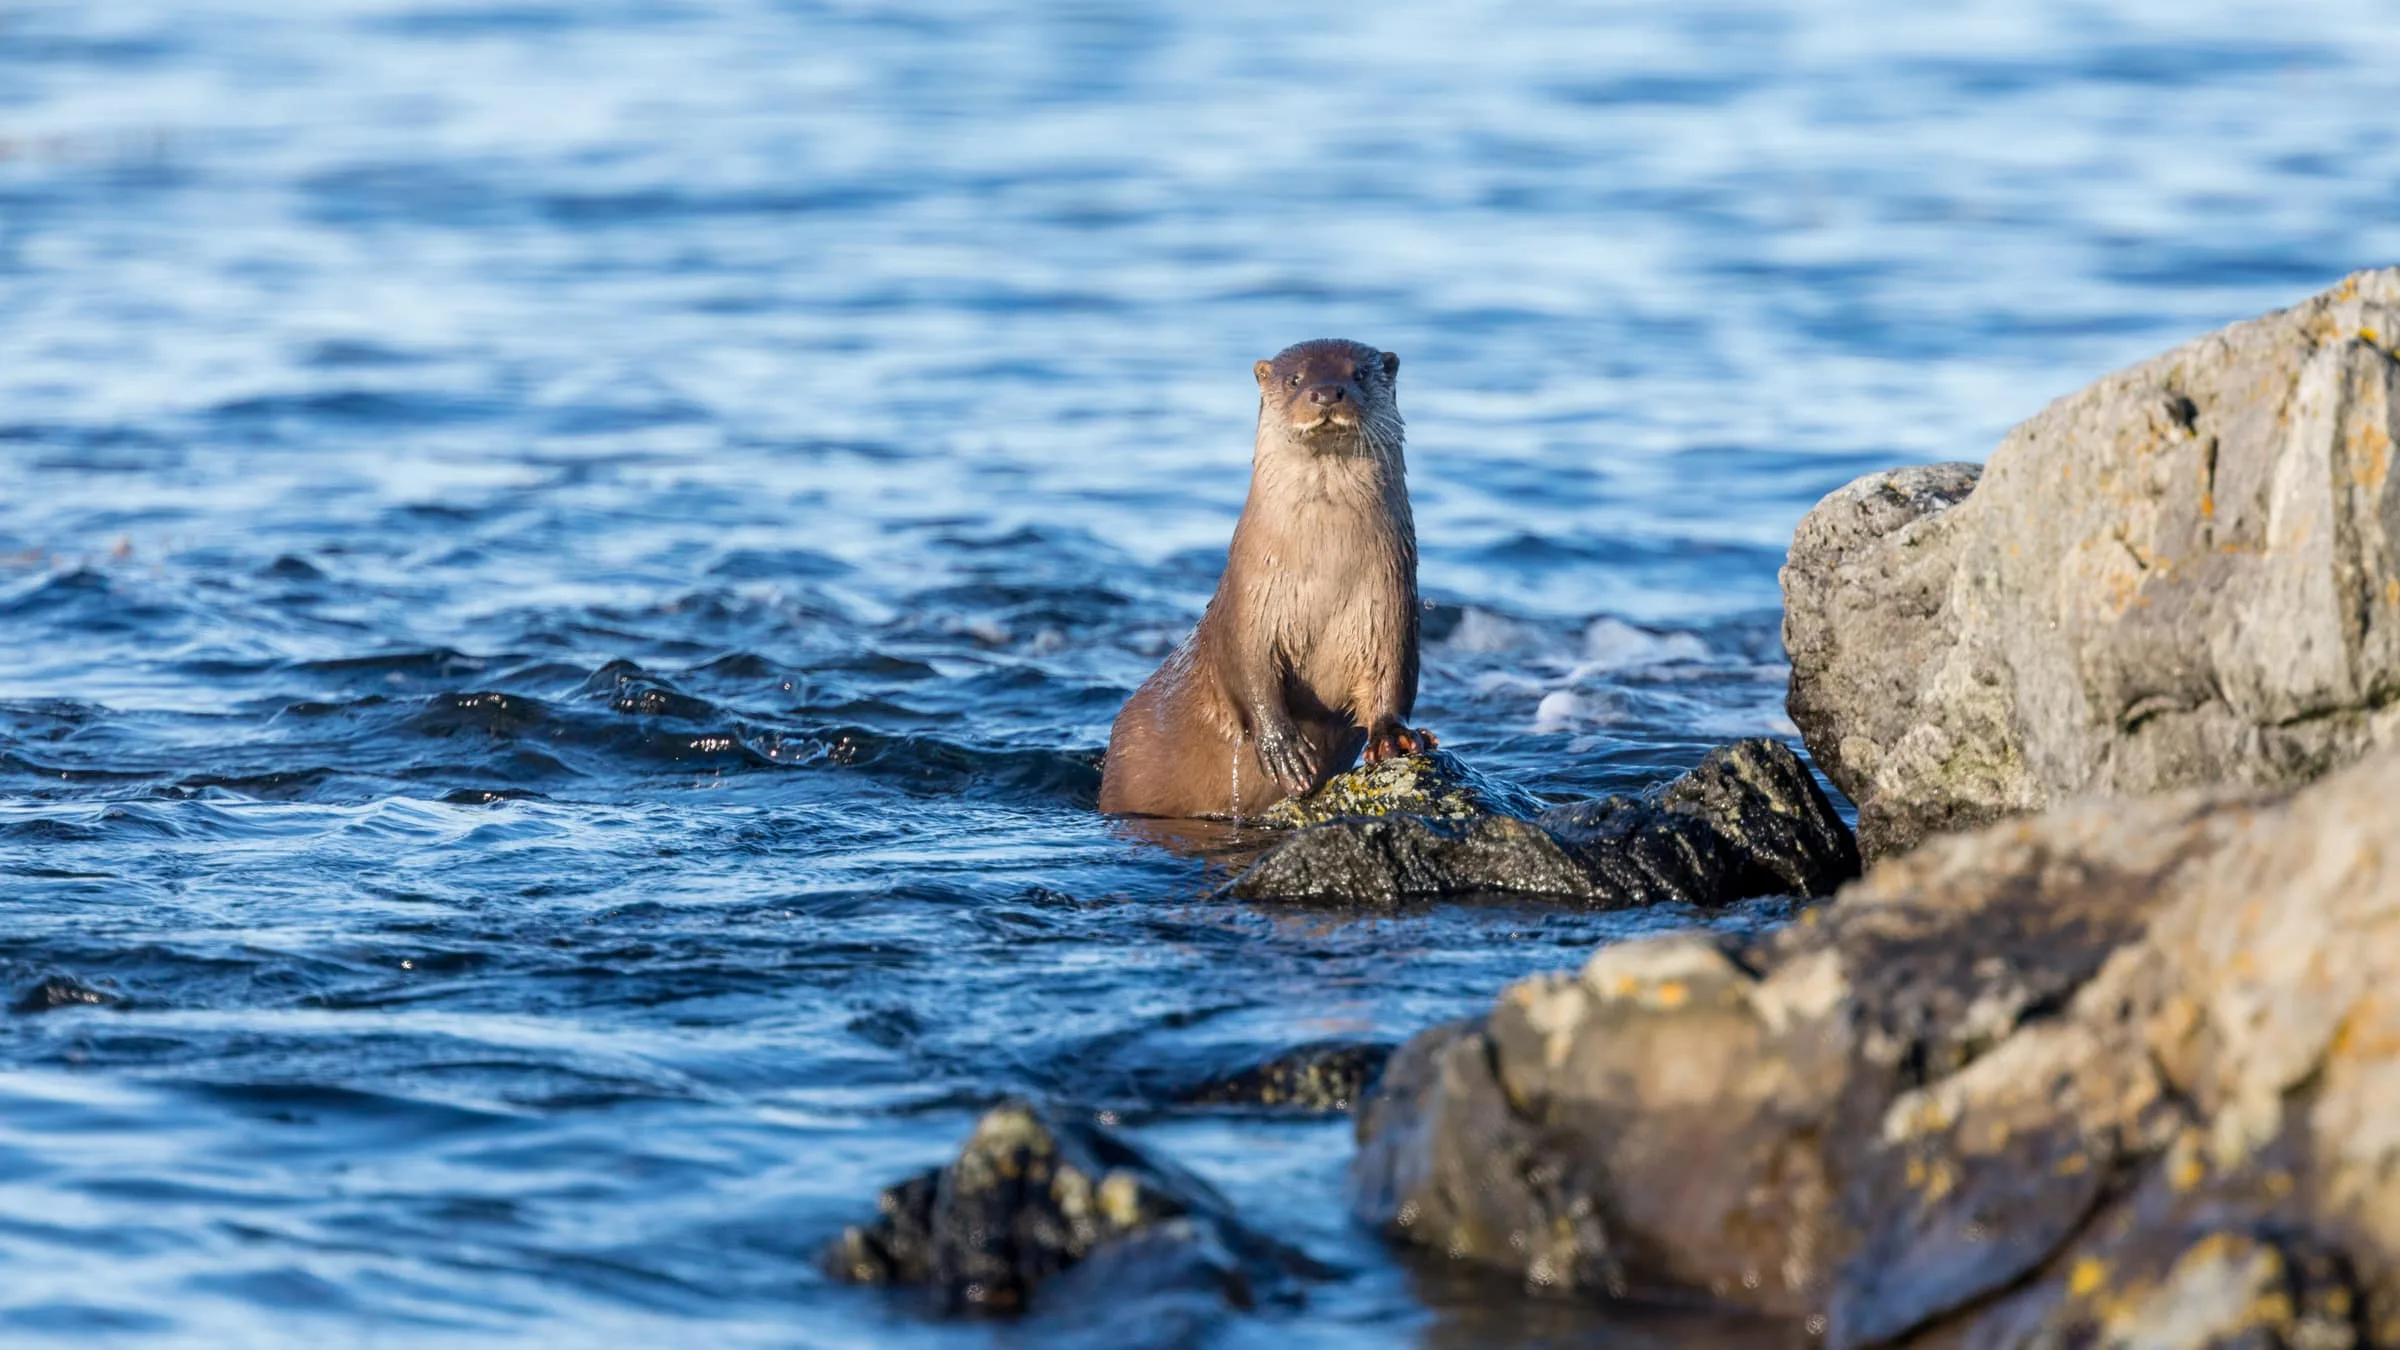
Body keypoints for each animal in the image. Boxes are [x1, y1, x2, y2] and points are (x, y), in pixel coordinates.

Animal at [1098, 338, 1435, 819]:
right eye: (1295, 379)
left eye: (1360, 374)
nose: (1325, 392)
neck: (1324, 579)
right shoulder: (1247, 606)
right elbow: (1249, 673)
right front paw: (1284, 749)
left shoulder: (1390, 606)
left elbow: (1392, 678)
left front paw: (1394, 736)